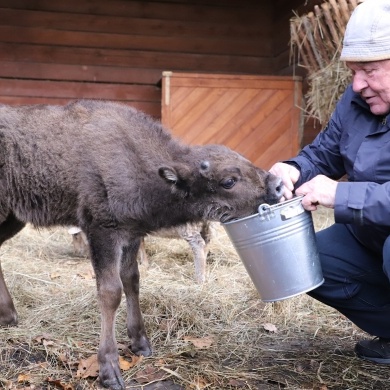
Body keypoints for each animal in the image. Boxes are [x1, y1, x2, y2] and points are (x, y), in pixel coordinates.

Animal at [0, 99, 282, 388]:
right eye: (228, 181)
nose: (277, 185)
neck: (137, 159)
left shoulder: (132, 235)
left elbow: (132, 280)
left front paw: (141, 343)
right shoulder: (103, 233)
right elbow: (111, 292)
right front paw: (110, 369)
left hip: (13, 218)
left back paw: (8, 316)